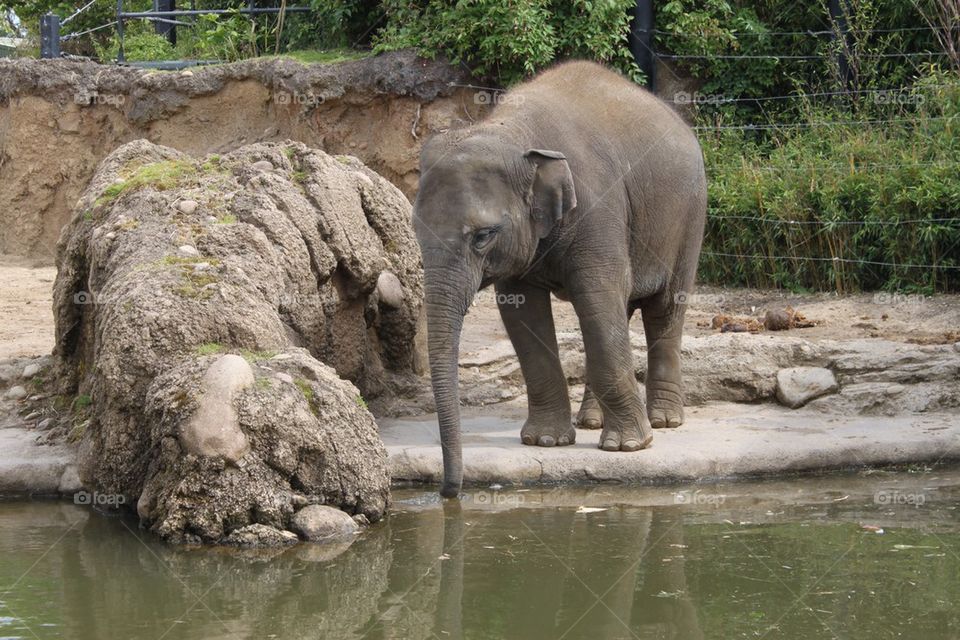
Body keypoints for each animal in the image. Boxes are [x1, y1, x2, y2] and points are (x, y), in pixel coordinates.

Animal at [413, 61, 707, 497]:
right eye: (415, 231)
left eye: (483, 236)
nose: (449, 492)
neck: (511, 131)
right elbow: (523, 314)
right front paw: (546, 441)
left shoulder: (598, 206)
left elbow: (598, 296)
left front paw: (628, 447)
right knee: (617, 313)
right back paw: (592, 422)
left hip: (689, 215)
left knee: (664, 308)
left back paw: (665, 421)